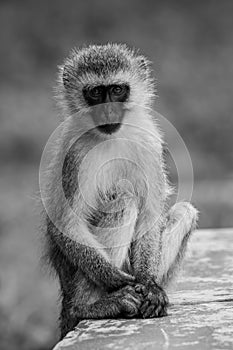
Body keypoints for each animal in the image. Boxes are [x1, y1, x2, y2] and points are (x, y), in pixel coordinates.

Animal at [41, 43, 197, 340]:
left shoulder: (148, 143)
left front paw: (148, 283)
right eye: (94, 93)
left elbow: (150, 215)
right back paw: (90, 306)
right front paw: (114, 279)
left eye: (116, 90)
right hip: (74, 280)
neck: (111, 137)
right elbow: (64, 224)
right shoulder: (74, 155)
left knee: (184, 211)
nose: (108, 110)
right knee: (123, 199)